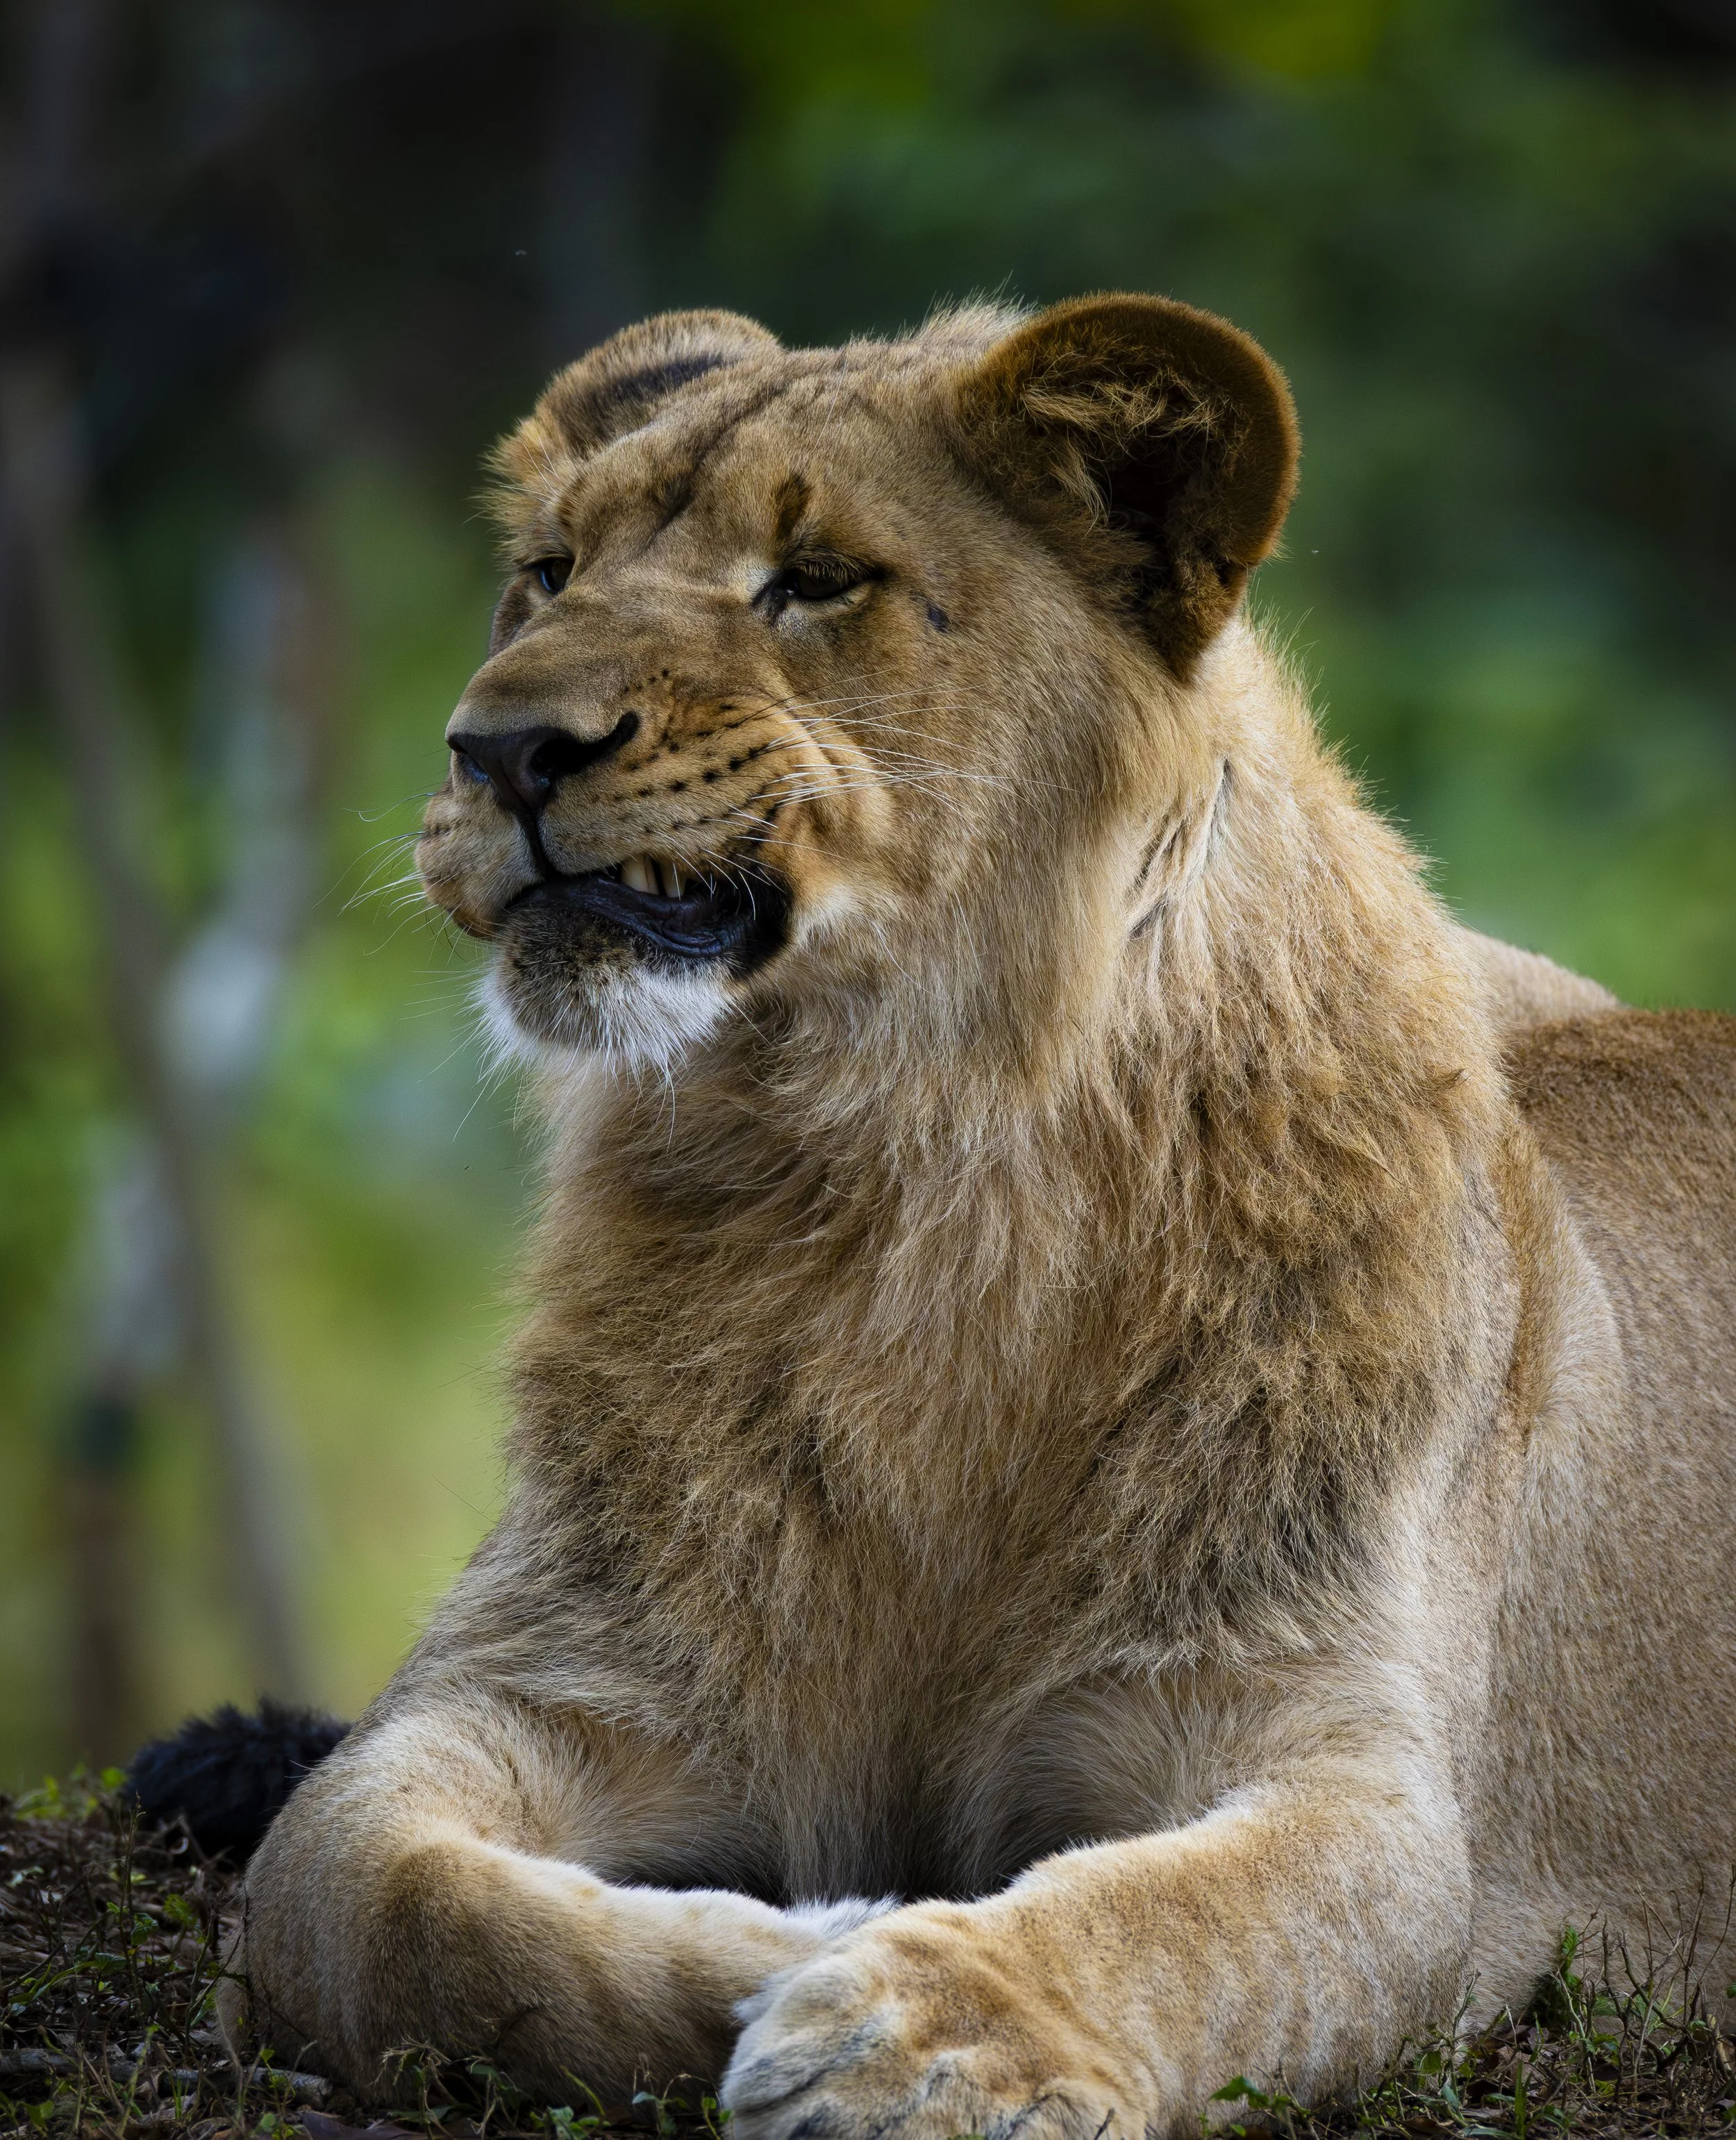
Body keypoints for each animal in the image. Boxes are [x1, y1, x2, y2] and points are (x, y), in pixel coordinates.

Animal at [224, 295, 1736, 2136]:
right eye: (549, 572)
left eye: (813, 578)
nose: (497, 748)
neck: (910, 1176)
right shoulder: (524, 1677)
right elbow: (380, 1904)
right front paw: (799, 1937)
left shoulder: (1350, 1772)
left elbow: (1175, 1917)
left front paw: (920, 2025)